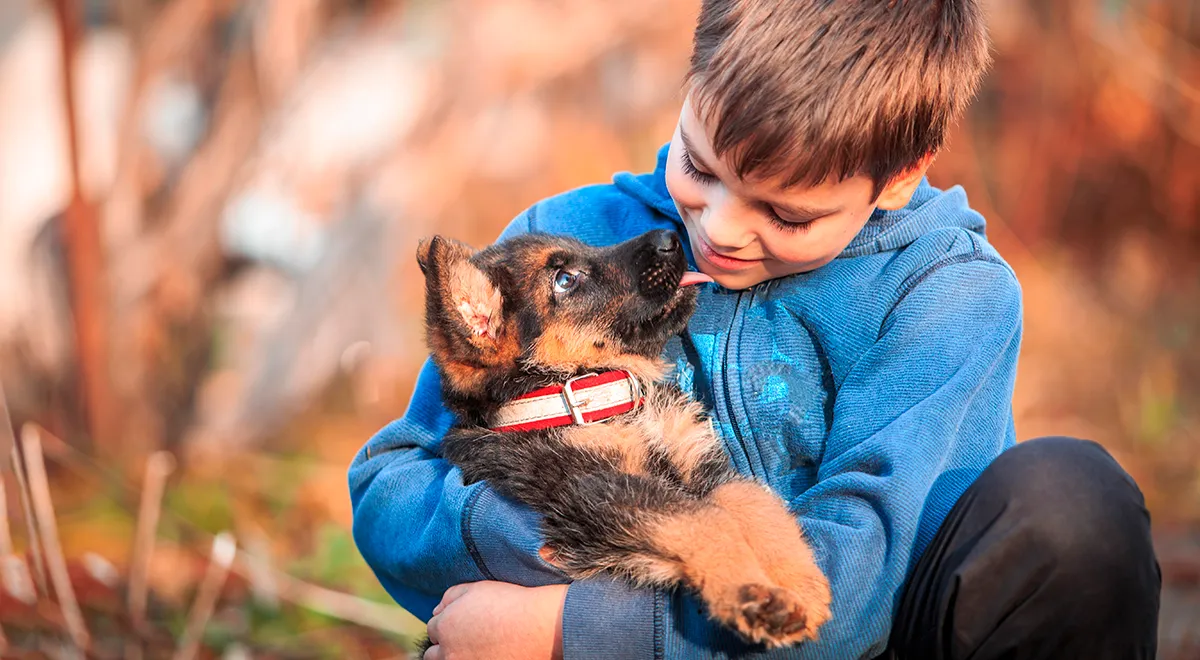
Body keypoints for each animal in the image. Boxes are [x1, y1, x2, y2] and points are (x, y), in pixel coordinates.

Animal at [417, 229, 830, 652]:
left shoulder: (701, 462)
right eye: (565, 280)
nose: (670, 236)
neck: (601, 399)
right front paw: (753, 596)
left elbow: (752, 501)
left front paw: (800, 584)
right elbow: (703, 518)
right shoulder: (592, 490)